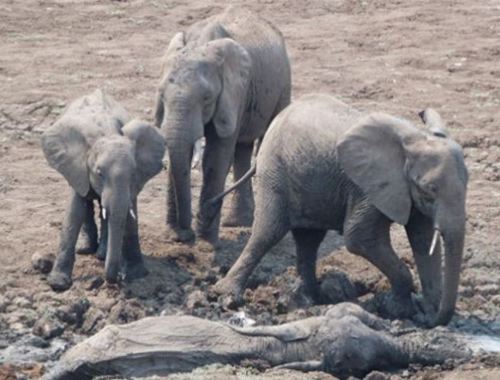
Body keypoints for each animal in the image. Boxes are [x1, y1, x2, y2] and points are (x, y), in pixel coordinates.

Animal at [41, 90, 166, 290]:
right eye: (99, 173)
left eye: (133, 172)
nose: (118, 279)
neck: (106, 132)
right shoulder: (78, 167)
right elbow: (74, 212)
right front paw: (58, 284)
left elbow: (130, 216)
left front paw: (136, 274)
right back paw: (86, 249)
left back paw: (101, 253)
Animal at [154, 5, 292, 246]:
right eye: (161, 94)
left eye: (207, 98)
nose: (187, 234)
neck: (200, 44)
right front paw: (176, 236)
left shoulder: (235, 92)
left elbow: (216, 155)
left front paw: (205, 241)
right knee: (243, 148)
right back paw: (237, 223)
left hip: (283, 84)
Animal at [215, 93, 468, 326]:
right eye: (429, 190)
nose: (429, 319)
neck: (414, 139)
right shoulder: (367, 187)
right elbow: (360, 238)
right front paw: (400, 311)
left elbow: (423, 241)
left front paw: (424, 310)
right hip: (274, 171)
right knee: (268, 232)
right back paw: (228, 296)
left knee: (309, 240)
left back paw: (311, 299)